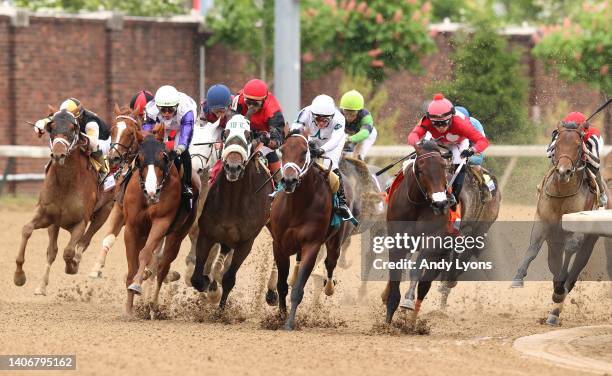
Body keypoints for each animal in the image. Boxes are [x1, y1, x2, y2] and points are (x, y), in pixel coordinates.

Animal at [13, 110, 110, 296]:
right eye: (52, 128)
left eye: (73, 129)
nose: (58, 154)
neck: (65, 183)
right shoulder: (46, 216)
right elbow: (27, 230)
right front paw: (19, 276)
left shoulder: (80, 222)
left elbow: (69, 251)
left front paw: (72, 266)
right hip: (55, 223)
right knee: (52, 251)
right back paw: (41, 286)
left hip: (105, 211)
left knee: (84, 242)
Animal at [123, 128, 200, 316]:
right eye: (139, 158)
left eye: (163, 157)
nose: (152, 192)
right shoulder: (132, 227)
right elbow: (132, 266)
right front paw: (128, 309)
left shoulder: (161, 223)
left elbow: (145, 254)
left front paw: (136, 285)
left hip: (177, 235)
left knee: (162, 268)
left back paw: (152, 305)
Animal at [266, 129, 354, 328]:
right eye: (282, 150)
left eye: (305, 152)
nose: (289, 180)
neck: (297, 207)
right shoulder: (279, 245)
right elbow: (282, 285)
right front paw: (280, 316)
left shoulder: (312, 246)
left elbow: (298, 288)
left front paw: (289, 323)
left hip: (335, 242)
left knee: (330, 263)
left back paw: (329, 287)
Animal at [512, 122, 604, 324]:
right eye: (557, 143)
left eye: (578, 146)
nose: (563, 171)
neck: (562, 193)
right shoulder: (543, 222)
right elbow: (533, 248)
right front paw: (518, 277)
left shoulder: (578, 227)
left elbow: (571, 249)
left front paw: (560, 291)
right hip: (554, 242)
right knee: (554, 264)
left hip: (589, 242)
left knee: (575, 268)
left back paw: (557, 306)